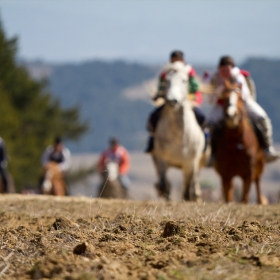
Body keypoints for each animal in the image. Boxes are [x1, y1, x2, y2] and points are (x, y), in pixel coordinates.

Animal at [152, 62, 205, 200]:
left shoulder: (189, 164)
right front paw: (166, 196)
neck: (179, 137)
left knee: (194, 182)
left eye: (184, 80)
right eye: (166, 80)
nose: (172, 100)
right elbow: (164, 184)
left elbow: (186, 189)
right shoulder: (161, 160)